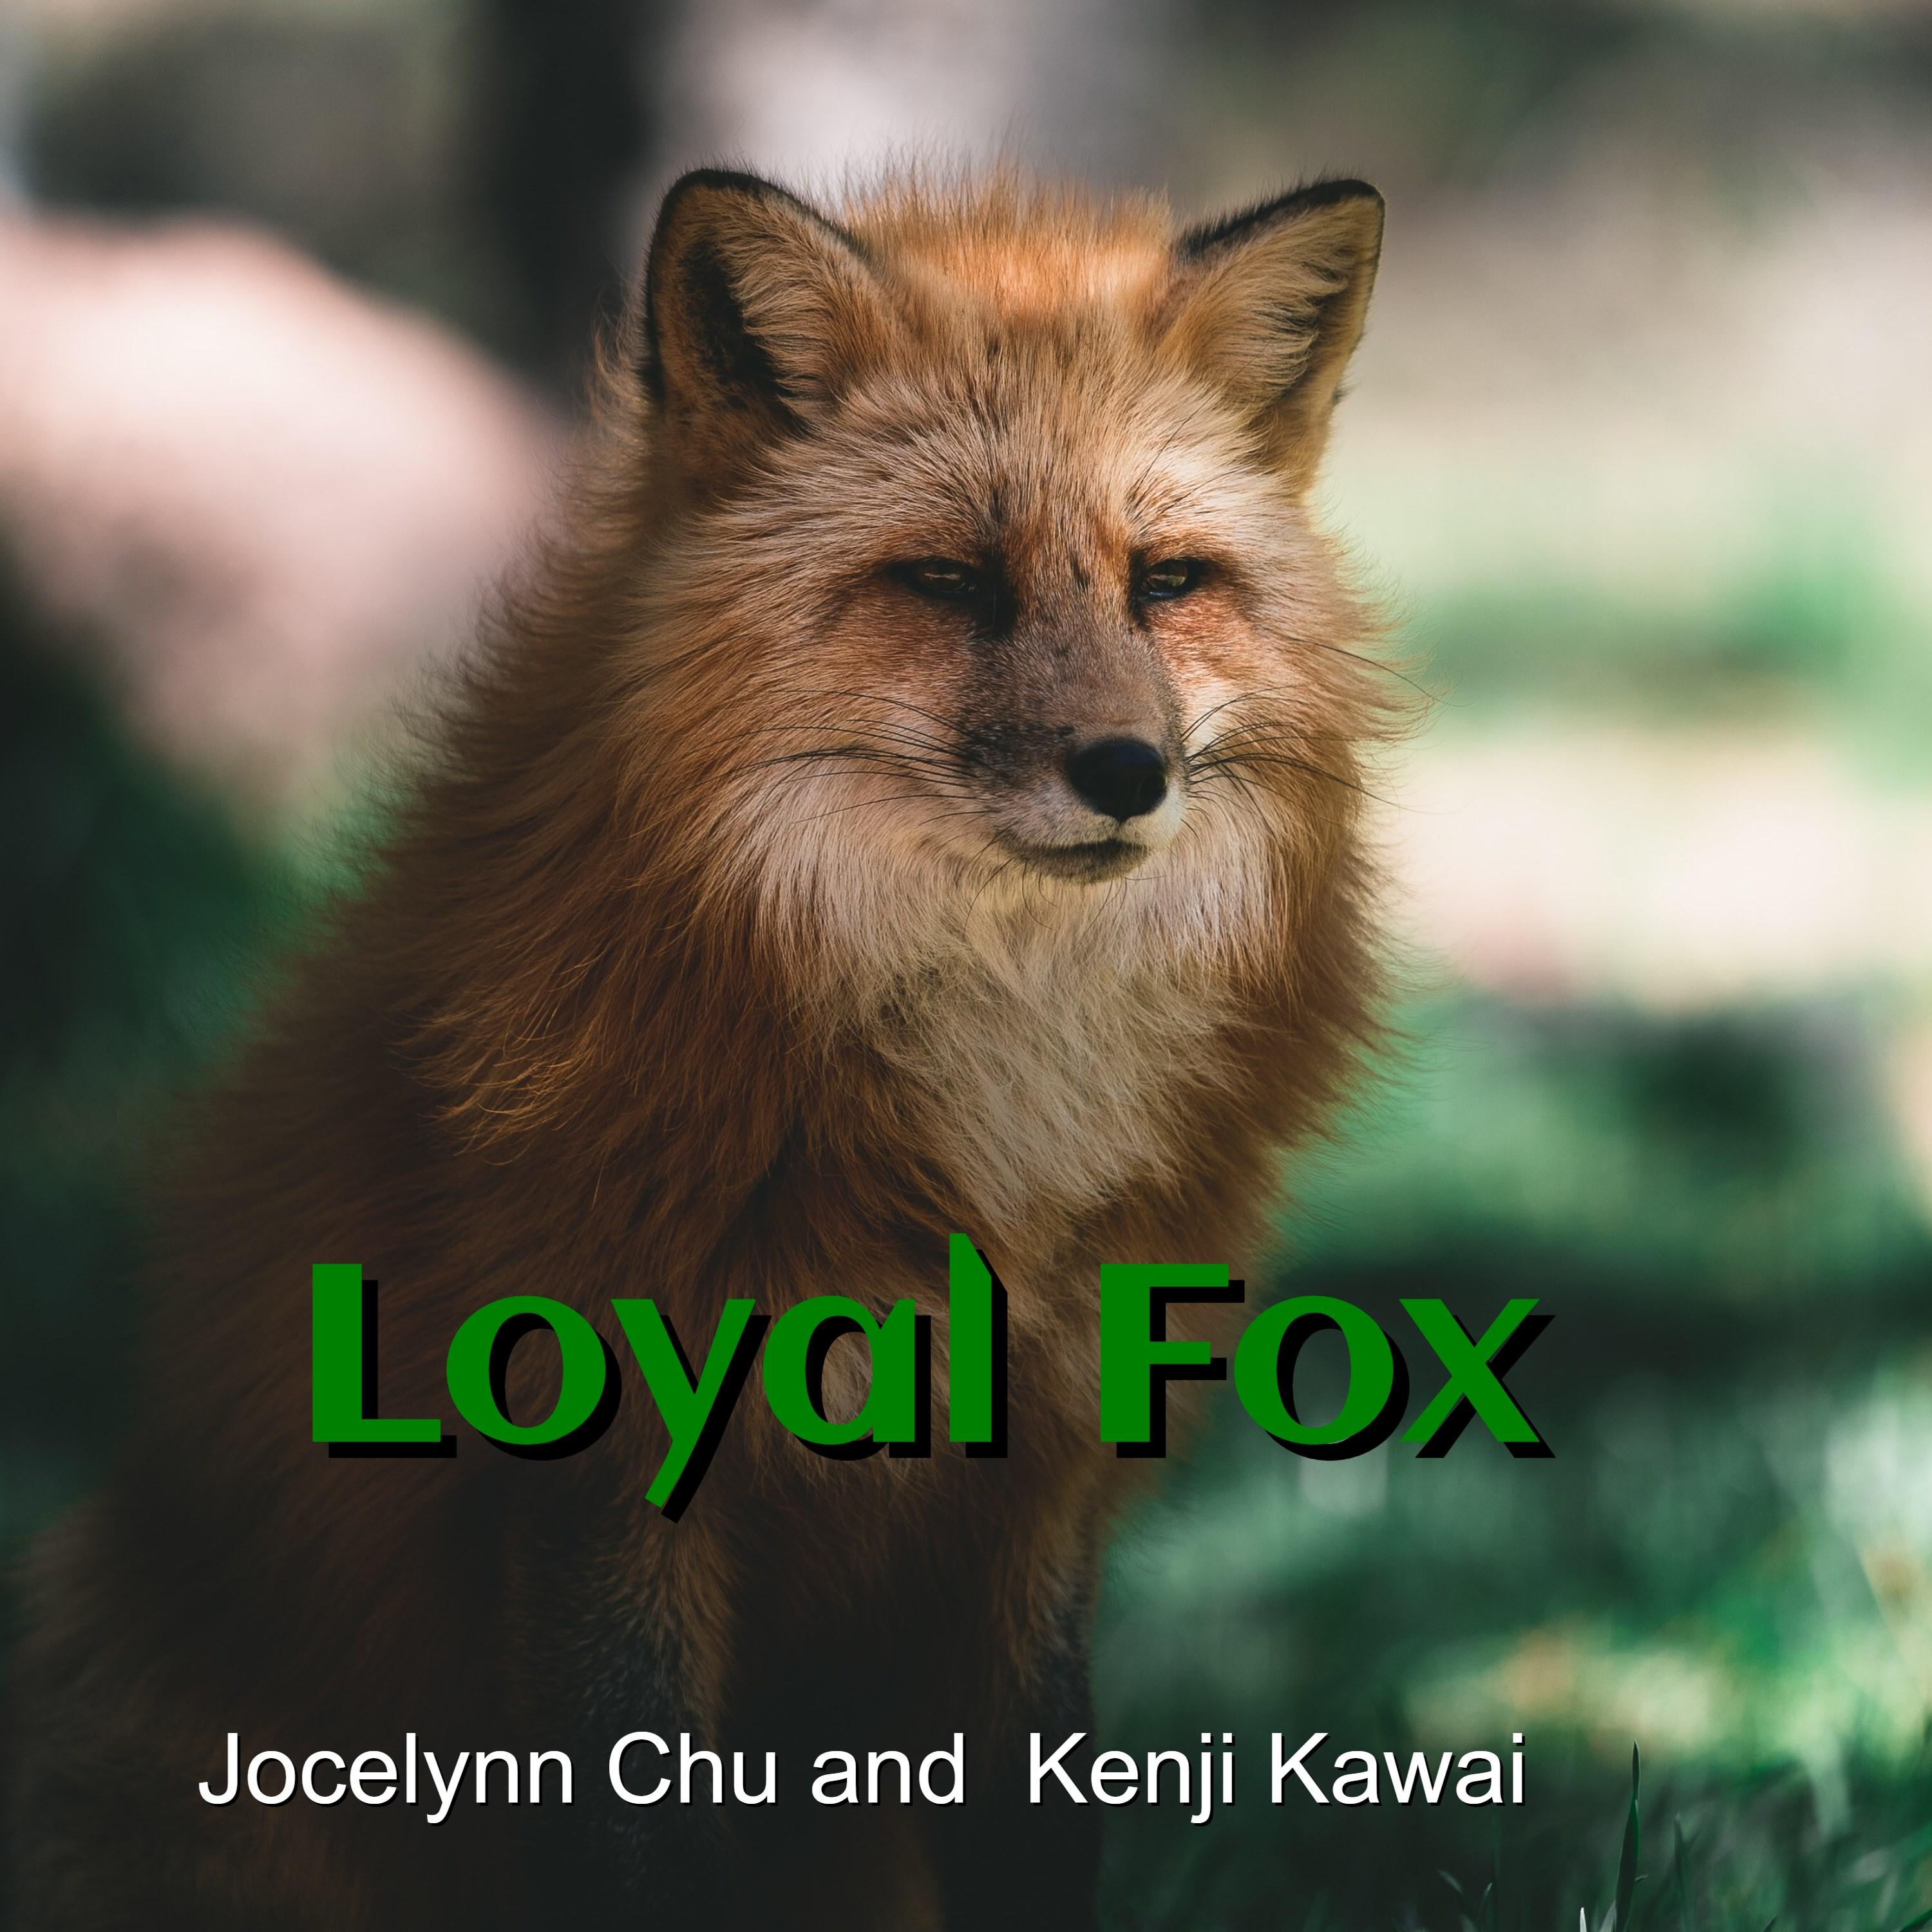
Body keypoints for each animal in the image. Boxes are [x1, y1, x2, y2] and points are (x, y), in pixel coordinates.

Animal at [6, 166, 1393, 1930]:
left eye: (1166, 582)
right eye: (949, 582)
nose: (1125, 771)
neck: (989, 1121)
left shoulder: (1030, 1497)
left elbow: (1036, 1835)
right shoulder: (597, 1476)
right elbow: (641, 1845)